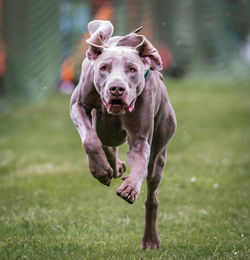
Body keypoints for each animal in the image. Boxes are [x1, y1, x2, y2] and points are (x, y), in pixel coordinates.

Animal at [69, 19, 177, 248]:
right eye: (104, 67)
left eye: (132, 69)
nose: (117, 89)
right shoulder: (78, 105)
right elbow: (90, 141)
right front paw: (100, 170)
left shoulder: (140, 138)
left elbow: (140, 161)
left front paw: (130, 188)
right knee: (103, 139)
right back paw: (112, 166)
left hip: (160, 150)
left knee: (152, 193)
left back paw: (150, 239)